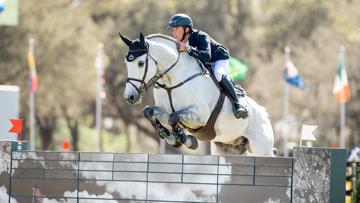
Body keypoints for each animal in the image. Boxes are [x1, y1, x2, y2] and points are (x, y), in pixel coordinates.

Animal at [119, 31, 274, 156]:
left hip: (261, 149)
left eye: (140, 63)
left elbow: (173, 118)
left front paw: (184, 139)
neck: (172, 81)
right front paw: (171, 137)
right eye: (126, 63)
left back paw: (240, 109)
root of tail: (264, 113)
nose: (129, 97)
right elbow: (150, 112)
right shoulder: (165, 110)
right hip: (226, 148)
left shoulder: (201, 114)